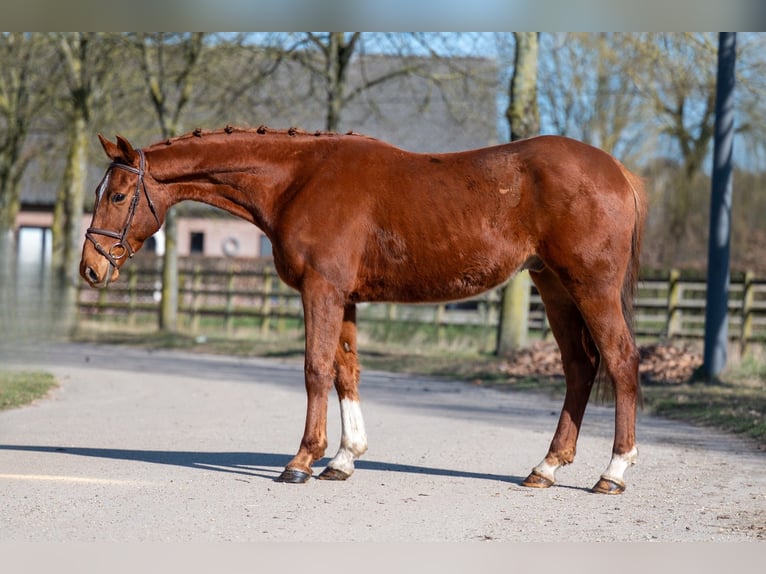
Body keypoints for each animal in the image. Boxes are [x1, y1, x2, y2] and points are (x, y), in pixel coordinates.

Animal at [81, 126, 648, 496]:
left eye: (119, 195)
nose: (90, 268)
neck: (298, 180)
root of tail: (618, 171)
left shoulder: (321, 291)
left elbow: (315, 369)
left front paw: (301, 461)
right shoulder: (345, 298)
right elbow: (345, 372)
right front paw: (344, 458)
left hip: (590, 287)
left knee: (621, 363)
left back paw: (614, 472)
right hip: (553, 287)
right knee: (580, 368)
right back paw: (546, 467)